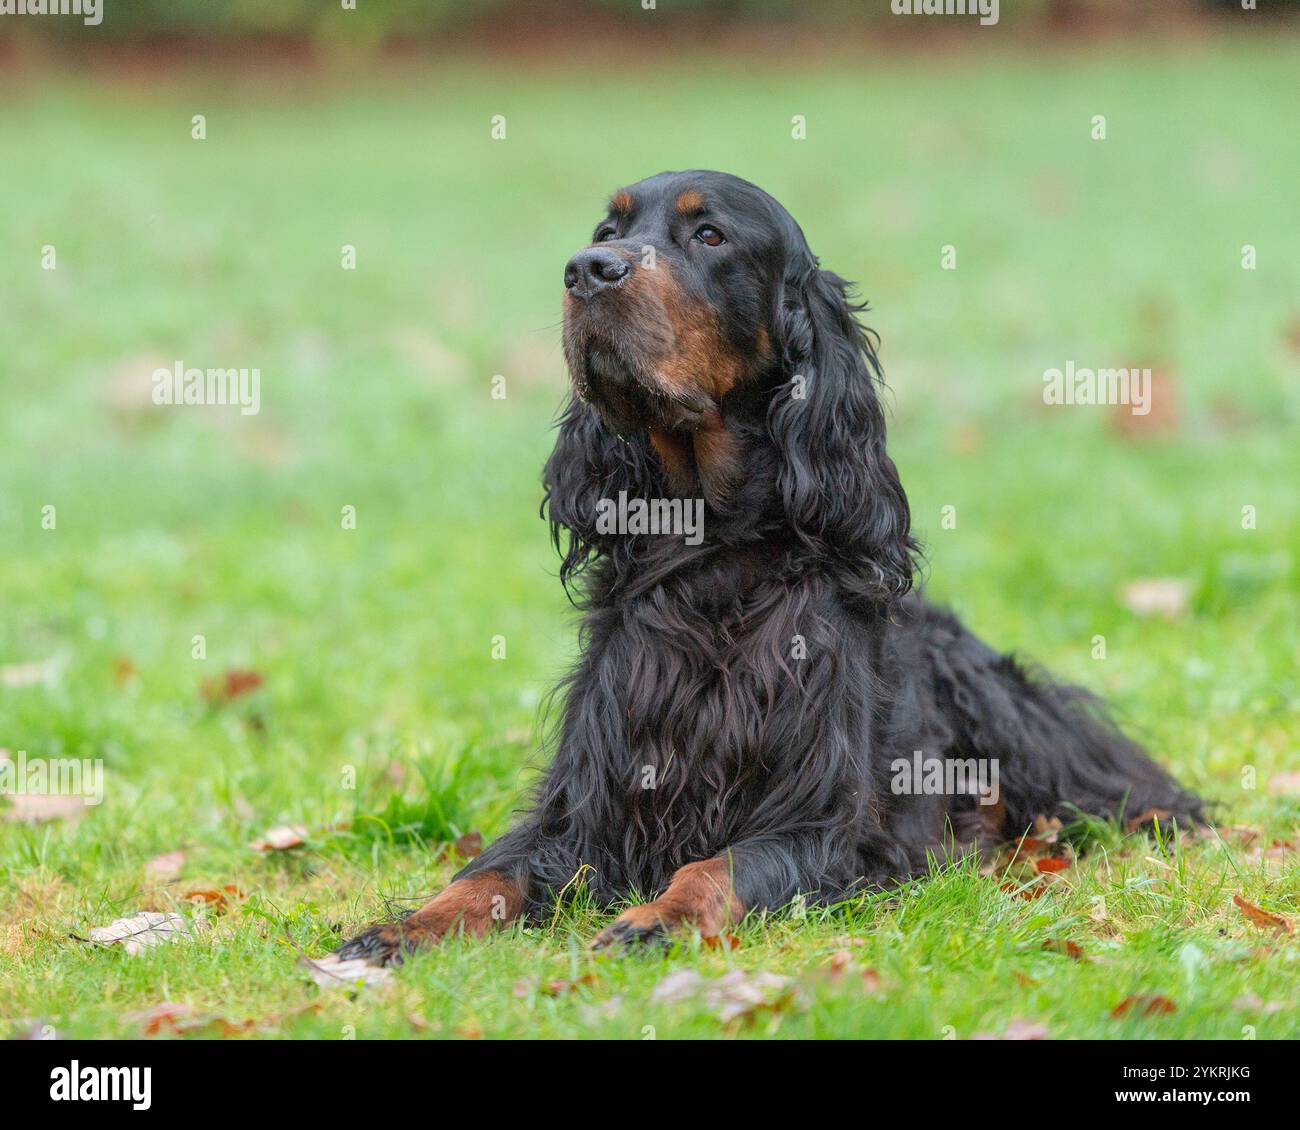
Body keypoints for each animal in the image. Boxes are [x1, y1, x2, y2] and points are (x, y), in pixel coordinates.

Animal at [335, 170, 1196, 962]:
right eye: (607, 229)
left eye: (709, 236)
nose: (586, 270)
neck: (714, 551)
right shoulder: (588, 805)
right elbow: (488, 872)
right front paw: (403, 928)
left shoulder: (820, 822)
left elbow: (717, 867)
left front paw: (658, 918)